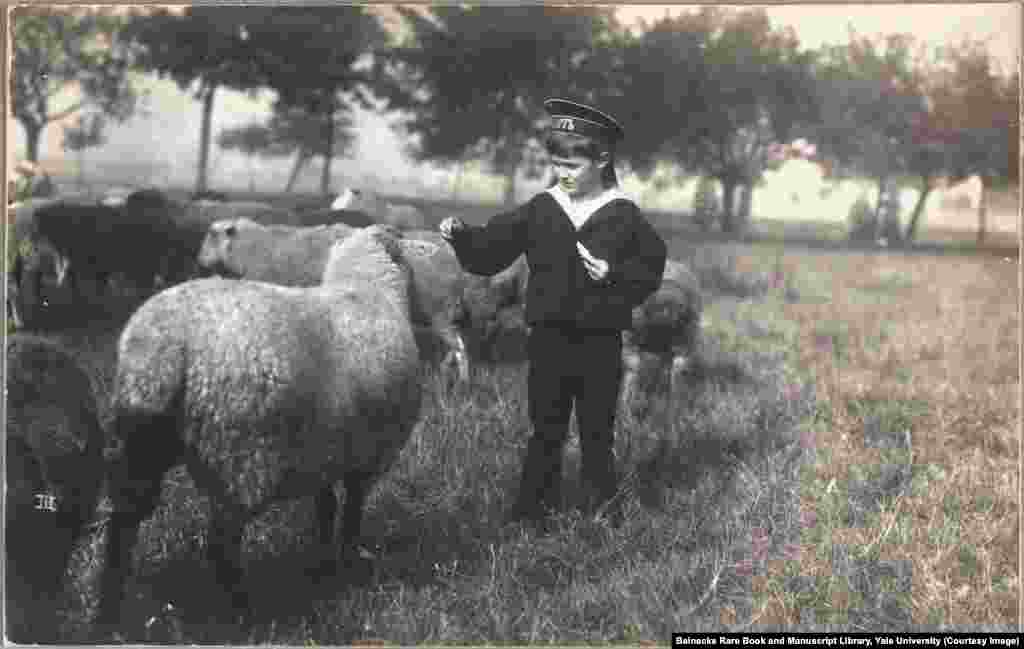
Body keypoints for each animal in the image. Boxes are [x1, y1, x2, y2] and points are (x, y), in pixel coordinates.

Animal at [92, 223, 419, 638]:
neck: (366, 286)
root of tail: (163, 349)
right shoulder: (369, 452)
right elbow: (352, 509)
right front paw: (347, 558)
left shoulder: (327, 445)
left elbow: (326, 504)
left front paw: (322, 558)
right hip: (240, 454)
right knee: (221, 545)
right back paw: (243, 618)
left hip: (141, 440)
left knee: (122, 524)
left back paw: (107, 617)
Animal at [195, 217, 471, 378]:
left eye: (211, 235)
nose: (199, 263)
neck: (252, 248)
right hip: (442, 311)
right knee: (456, 343)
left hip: (440, 308)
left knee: (459, 346)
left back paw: (461, 381)